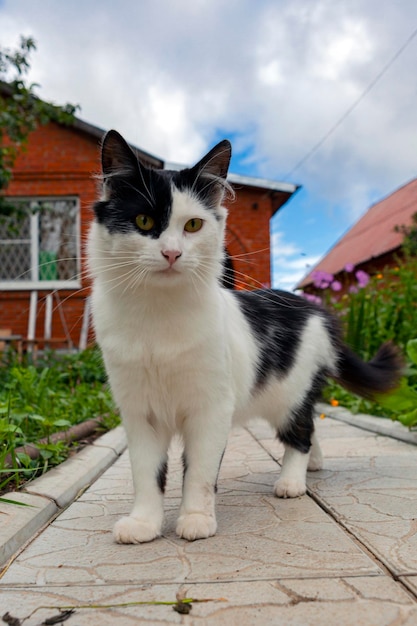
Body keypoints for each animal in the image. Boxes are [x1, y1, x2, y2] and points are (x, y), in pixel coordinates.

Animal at [87, 130, 400, 540]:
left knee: (301, 433)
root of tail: (316, 310)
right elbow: (146, 473)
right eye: (143, 220)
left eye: (192, 226)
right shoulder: (140, 411)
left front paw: (196, 519)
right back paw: (314, 465)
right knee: (310, 428)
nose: (171, 254)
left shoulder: (211, 408)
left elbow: (199, 473)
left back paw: (292, 482)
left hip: (290, 394)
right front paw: (144, 524)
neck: (158, 314)